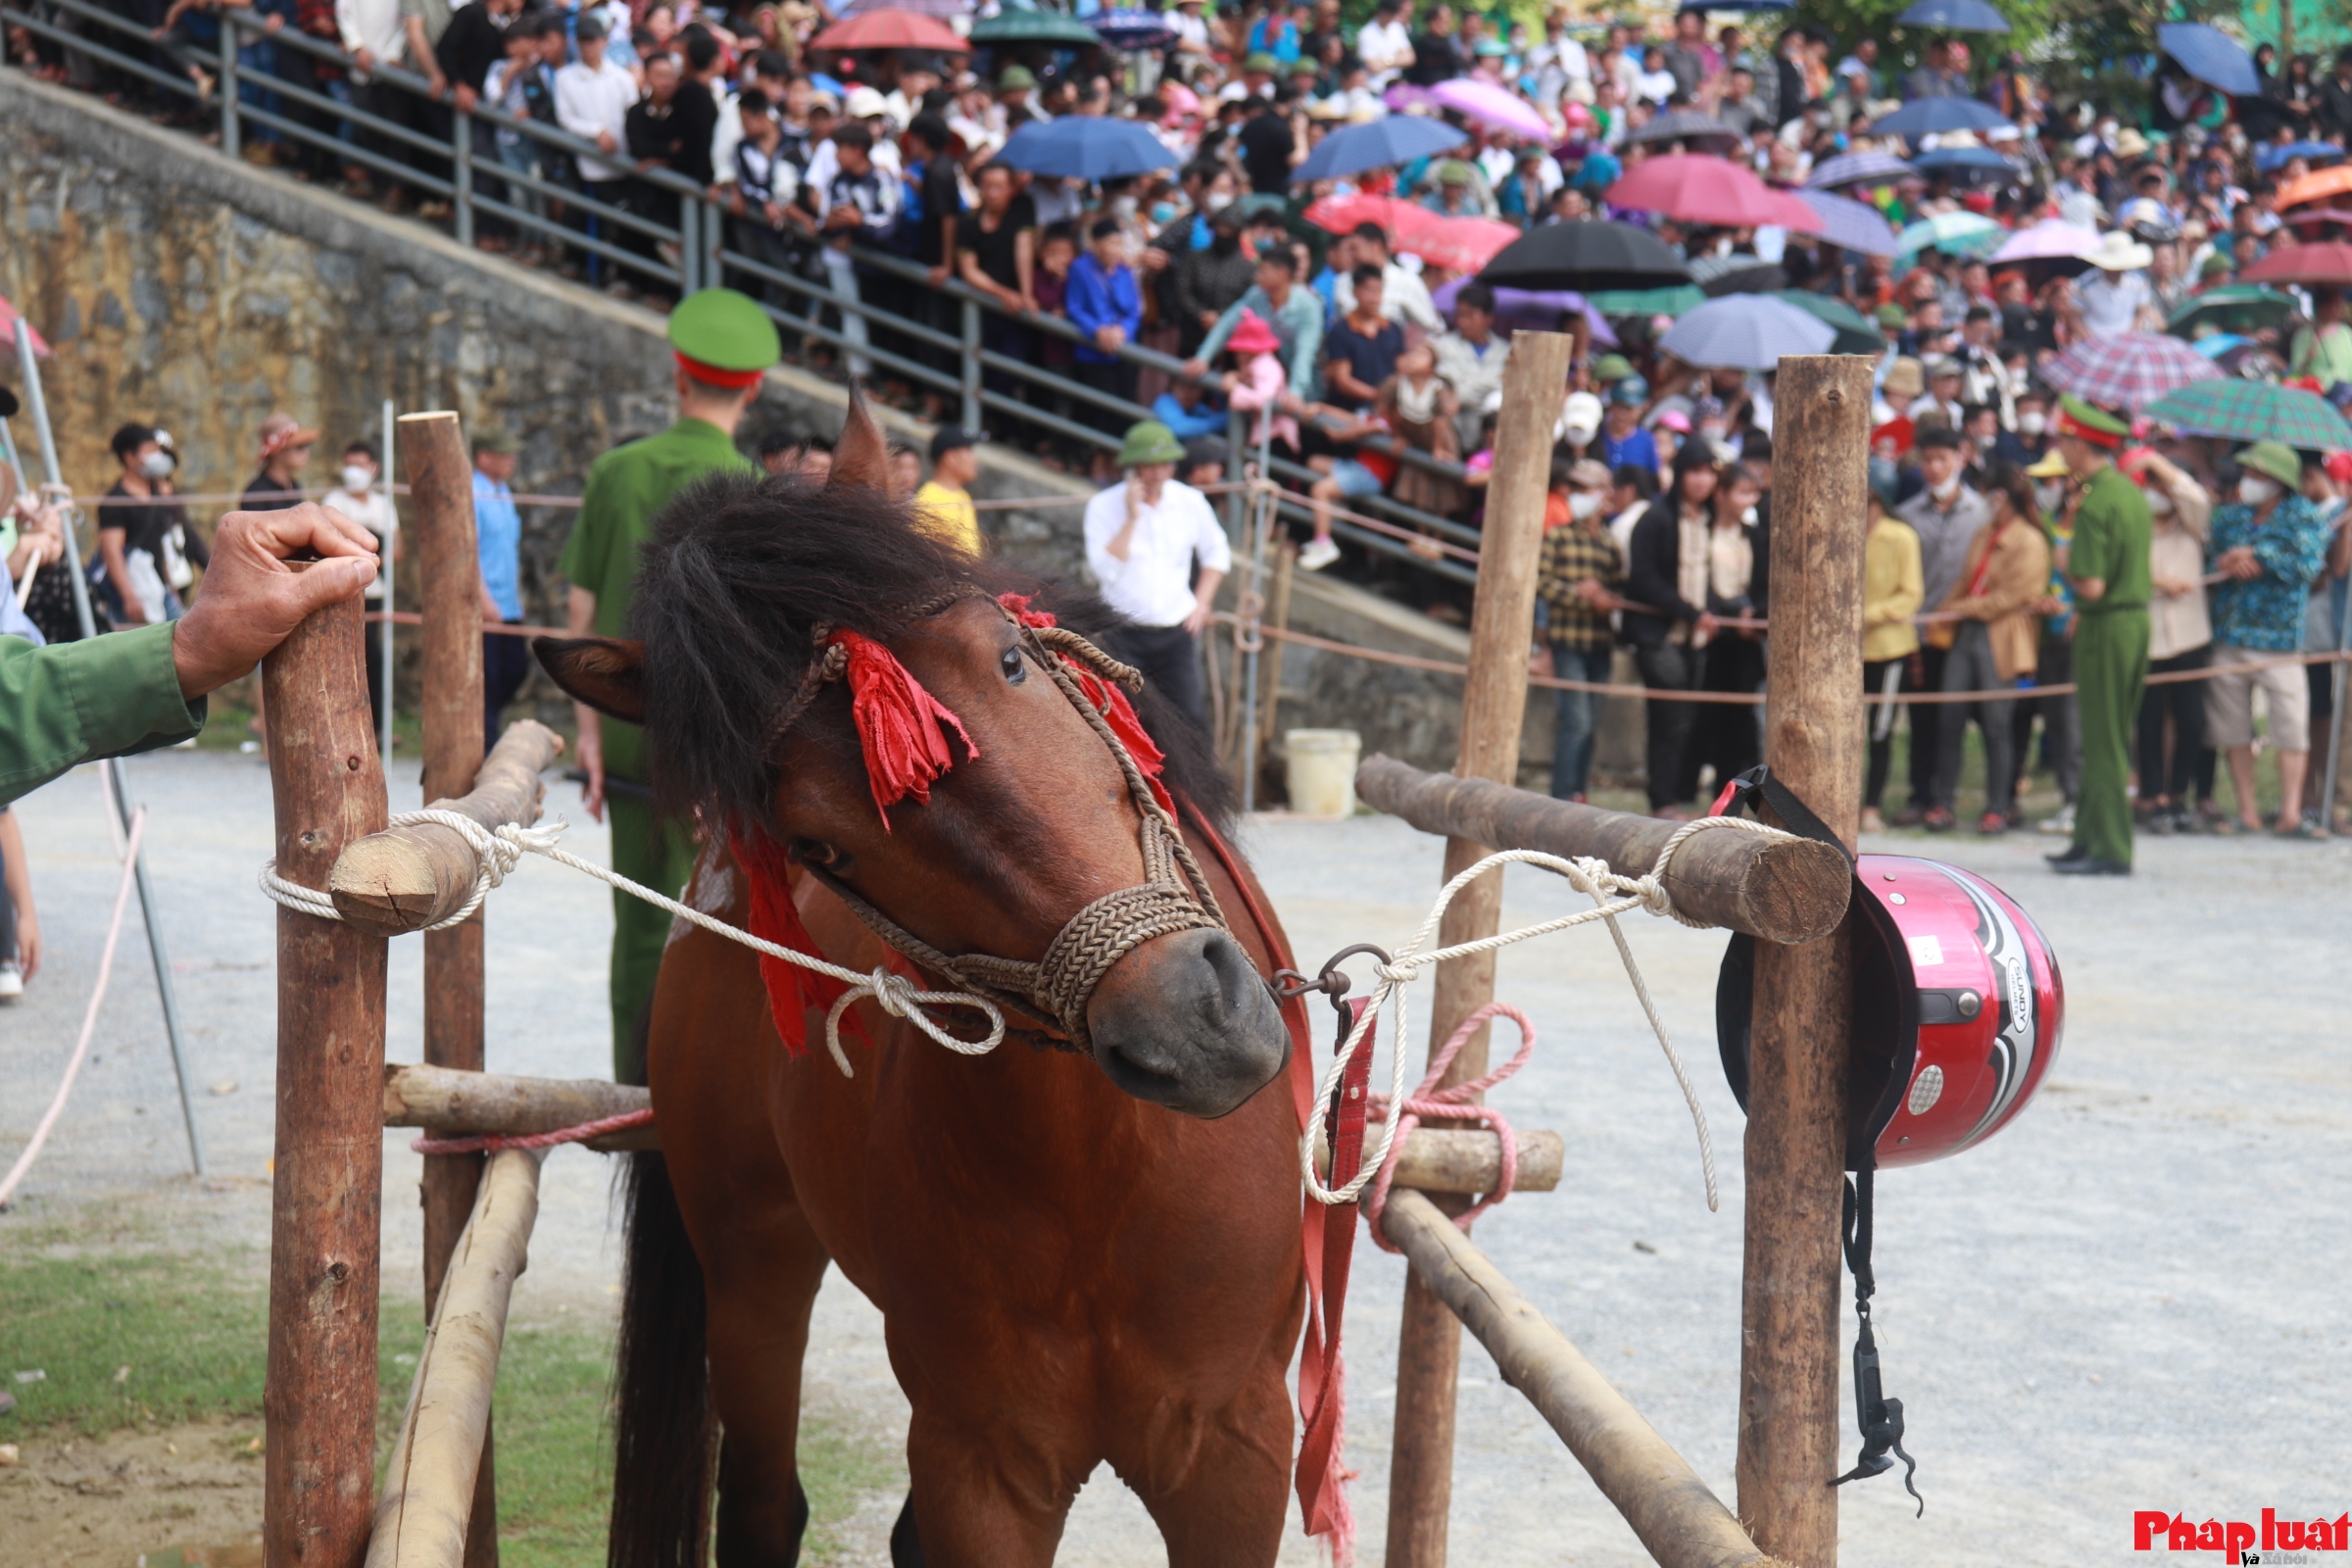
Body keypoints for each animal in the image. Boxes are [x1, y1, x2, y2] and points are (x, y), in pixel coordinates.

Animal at [541, 404, 1326, 1568]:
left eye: (1008, 660)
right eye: (819, 846)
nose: (1188, 1023)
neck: (1100, 1181)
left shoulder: (1234, 1450)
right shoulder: (983, 1463)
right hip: (749, 1261)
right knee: (764, 1500)